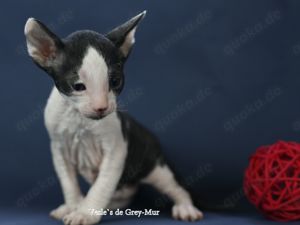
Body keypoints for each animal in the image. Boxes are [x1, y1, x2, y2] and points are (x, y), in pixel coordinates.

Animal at [24, 11, 203, 225]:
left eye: (115, 81)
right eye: (78, 86)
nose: (101, 107)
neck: (79, 120)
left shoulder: (116, 151)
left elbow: (102, 185)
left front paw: (84, 213)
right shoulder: (59, 149)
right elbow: (69, 183)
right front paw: (74, 205)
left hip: (156, 168)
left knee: (177, 188)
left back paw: (186, 208)